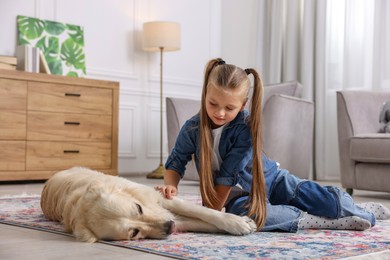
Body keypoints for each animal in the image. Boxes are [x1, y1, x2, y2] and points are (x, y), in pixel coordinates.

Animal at [41, 168, 258, 243]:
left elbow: (204, 212)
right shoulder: (174, 218)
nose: (169, 226)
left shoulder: (160, 198)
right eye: (134, 233)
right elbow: (202, 222)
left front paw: (238, 222)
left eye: (138, 208)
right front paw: (241, 224)